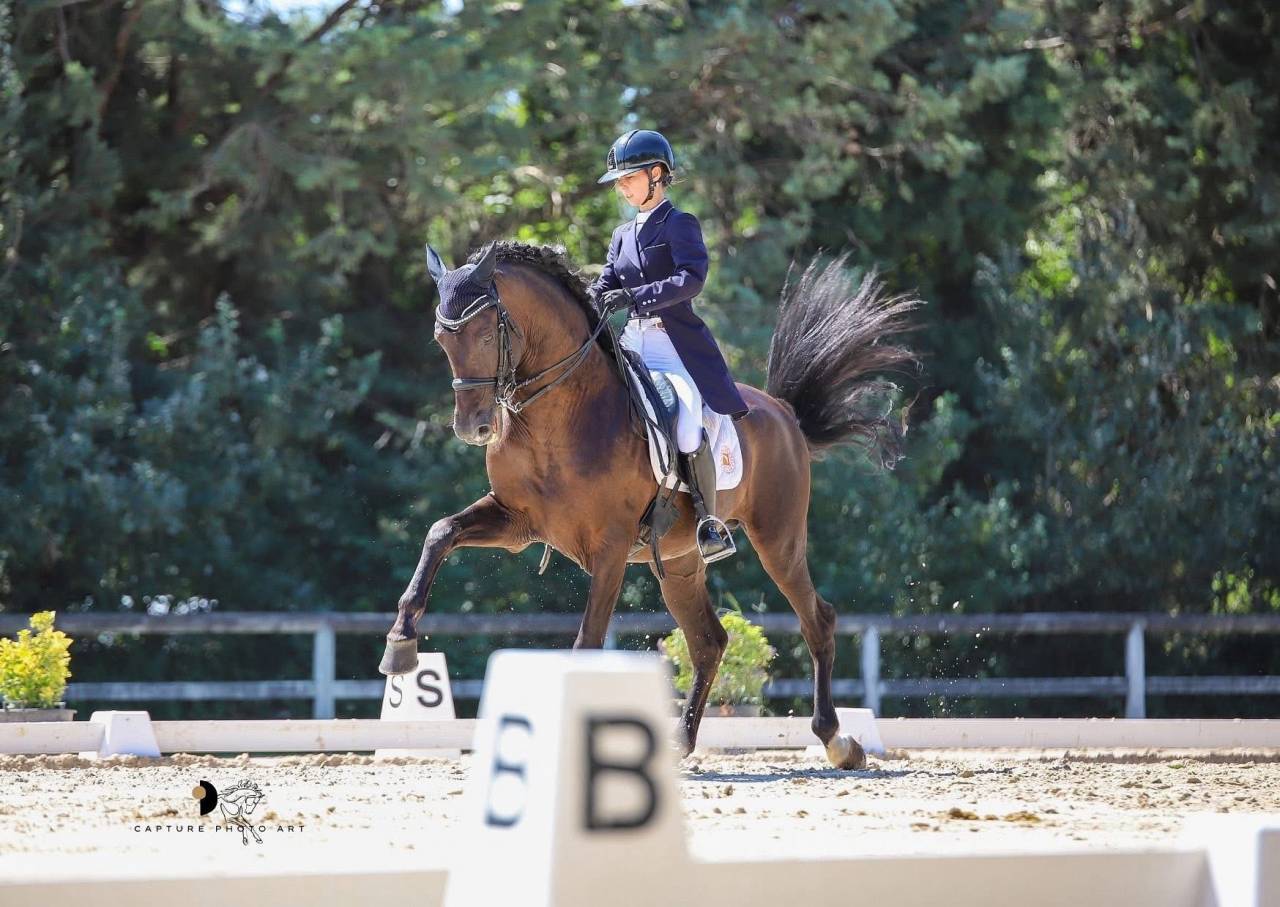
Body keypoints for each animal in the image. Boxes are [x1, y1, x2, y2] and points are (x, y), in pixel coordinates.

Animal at [380, 240, 920, 769]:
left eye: (486, 336)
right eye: (442, 340)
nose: (473, 427)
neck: (557, 417)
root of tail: (783, 412)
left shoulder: (611, 547)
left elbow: (588, 640)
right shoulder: (516, 522)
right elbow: (440, 532)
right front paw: (400, 645)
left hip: (779, 540)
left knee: (816, 621)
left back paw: (837, 740)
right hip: (680, 564)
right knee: (709, 642)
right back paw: (681, 741)